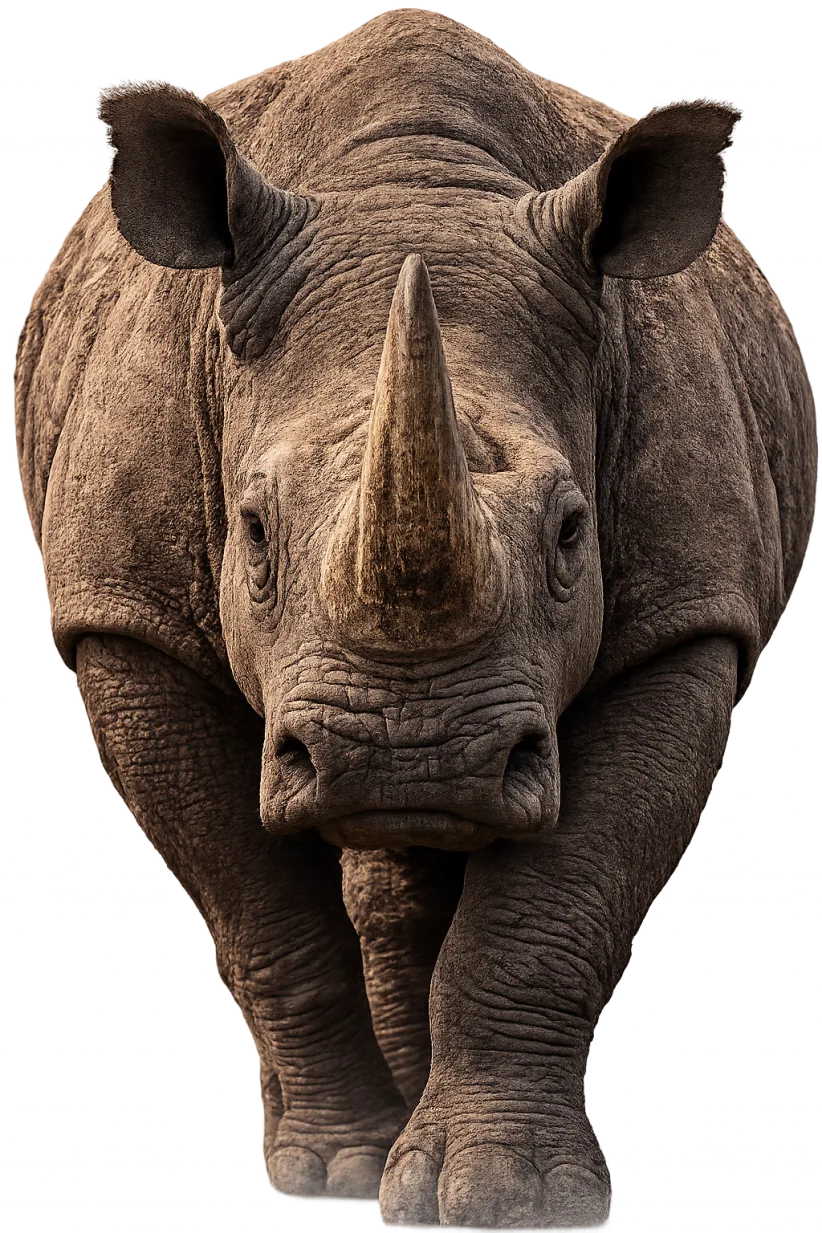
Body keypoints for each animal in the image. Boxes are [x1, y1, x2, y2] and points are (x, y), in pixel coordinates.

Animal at [12, 9, 816, 1232]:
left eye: (573, 532)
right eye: (251, 528)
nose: (412, 758)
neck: (409, 182)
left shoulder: (687, 618)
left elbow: (555, 905)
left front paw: (507, 1198)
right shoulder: (125, 615)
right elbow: (260, 911)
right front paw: (332, 1172)